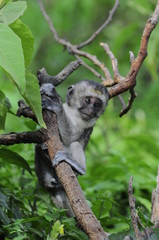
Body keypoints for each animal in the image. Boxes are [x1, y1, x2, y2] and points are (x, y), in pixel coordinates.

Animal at [35, 79, 108, 217]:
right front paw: (48, 90)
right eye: (88, 100)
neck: (73, 112)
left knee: (75, 144)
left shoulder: (88, 122)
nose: (90, 110)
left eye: (97, 104)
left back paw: (78, 167)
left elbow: (70, 138)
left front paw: (56, 103)